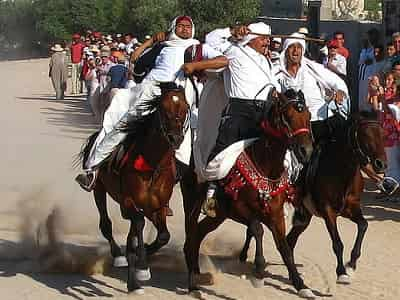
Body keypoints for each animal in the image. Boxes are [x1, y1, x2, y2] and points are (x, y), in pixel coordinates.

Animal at [80, 82, 190, 292]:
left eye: (186, 107)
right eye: (163, 108)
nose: (176, 138)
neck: (152, 165)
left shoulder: (158, 206)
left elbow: (163, 235)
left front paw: (143, 255)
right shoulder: (128, 201)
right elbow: (138, 223)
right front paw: (142, 268)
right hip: (99, 189)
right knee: (106, 224)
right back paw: (118, 255)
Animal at [182, 90, 318, 298]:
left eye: (308, 116)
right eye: (288, 117)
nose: (306, 151)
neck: (265, 167)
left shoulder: (276, 215)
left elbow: (285, 248)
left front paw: (300, 285)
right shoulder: (240, 209)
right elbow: (257, 228)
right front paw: (259, 270)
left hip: (218, 216)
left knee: (198, 234)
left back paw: (198, 273)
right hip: (192, 204)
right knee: (190, 236)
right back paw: (192, 284)